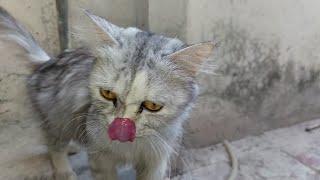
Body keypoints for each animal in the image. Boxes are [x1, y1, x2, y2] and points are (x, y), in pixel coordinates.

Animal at [0, 7, 215, 180]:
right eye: (107, 94)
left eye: (153, 106)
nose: (120, 127)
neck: (132, 147)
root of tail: (46, 62)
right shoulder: (100, 157)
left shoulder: (157, 160)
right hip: (57, 117)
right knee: (54, 145)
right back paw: (64, 171)